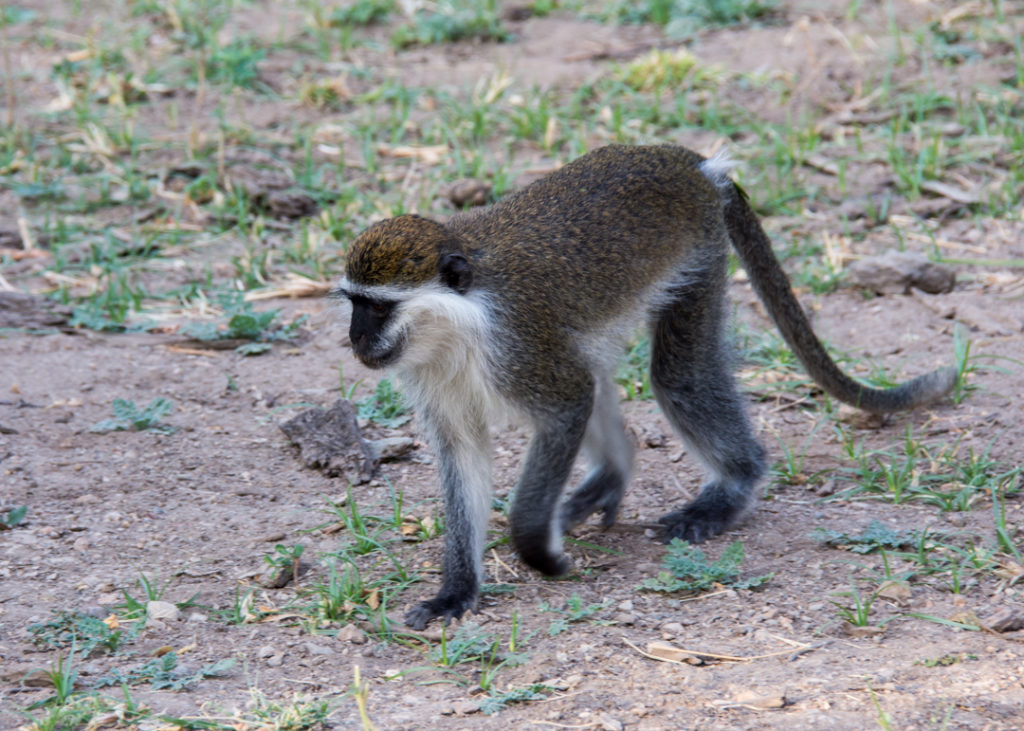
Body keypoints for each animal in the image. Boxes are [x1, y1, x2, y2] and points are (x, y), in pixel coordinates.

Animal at [331, 142, 954, 626]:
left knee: (678, 375)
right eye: (355, 302)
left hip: (699, 249)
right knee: (601, 371)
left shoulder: (519, 348)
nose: (356, 340)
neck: (459, 320)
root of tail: (689, 162)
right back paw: (610, 477)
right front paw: (456, 591)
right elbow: (465, 455)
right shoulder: (432, 375)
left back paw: (732, 488)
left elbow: (569, 404)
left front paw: (539, 554)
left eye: (378, 308)